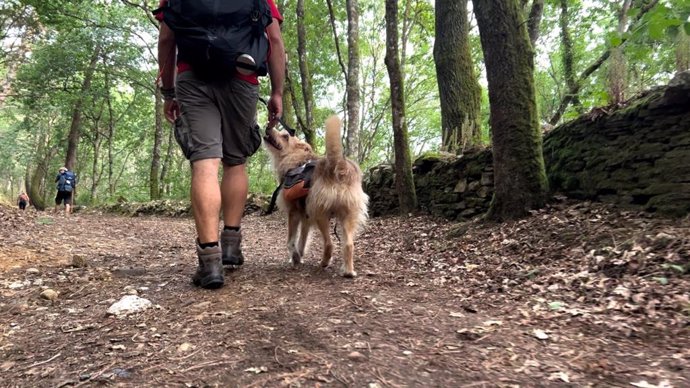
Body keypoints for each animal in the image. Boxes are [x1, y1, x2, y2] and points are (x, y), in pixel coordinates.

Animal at [264, 114, 368, 276]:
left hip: (321, 214)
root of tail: (338, 165)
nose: (268, 126)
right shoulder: (305, 218)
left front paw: (295, 258)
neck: (296, 160)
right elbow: (302, 240)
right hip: (348, 215)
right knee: (349, 244)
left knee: (329, 244)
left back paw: (324, 263)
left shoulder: (293, 213)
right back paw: (348, 271)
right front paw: (299, 257)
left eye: (285, 136)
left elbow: (291, 241)